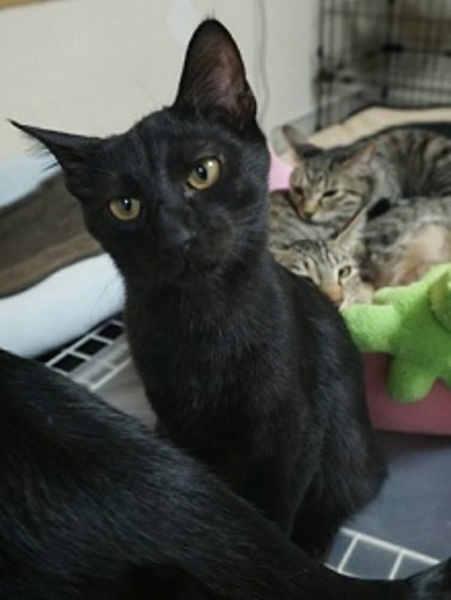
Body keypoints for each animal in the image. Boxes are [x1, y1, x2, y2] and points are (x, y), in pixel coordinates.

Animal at [11, 19, 418, 569]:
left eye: (203, 172)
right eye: (124, 206)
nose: (176, 235)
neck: (205, 319)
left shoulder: (293, 434)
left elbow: (276, 507)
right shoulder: (181, 426)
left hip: (347, 446)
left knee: (344, 492)